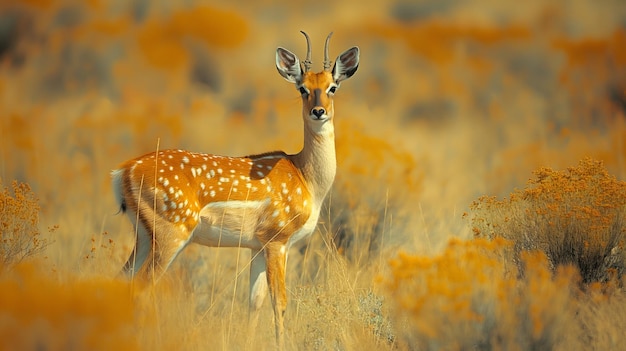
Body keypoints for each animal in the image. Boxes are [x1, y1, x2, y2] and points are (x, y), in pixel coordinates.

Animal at [109, 31, 358, 350]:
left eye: (333, 87)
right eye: (302, 89)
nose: (319, 111)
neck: (307, 179)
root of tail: (122, 173)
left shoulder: (257, 244)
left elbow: (254, 301)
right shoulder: (277, 238)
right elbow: (280, 302)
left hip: (143, 233)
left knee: (121, 281)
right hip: (171, 230)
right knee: (141, 288)